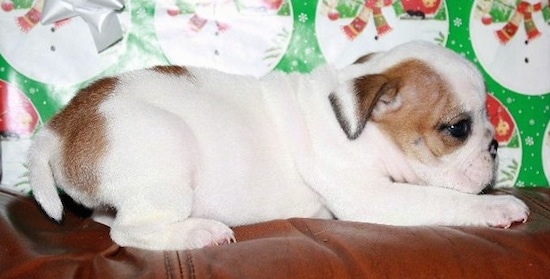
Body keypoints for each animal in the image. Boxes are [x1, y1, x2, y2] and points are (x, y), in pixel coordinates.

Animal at [27, 41, 532, 252]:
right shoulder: (374, 198)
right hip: (164, 155)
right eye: (458, 129)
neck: (355, 118)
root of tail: (61, 125)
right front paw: (498, 206)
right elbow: (441, 199)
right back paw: (197, 233)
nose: (494, 148)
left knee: (107, 218)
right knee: (127, 231)